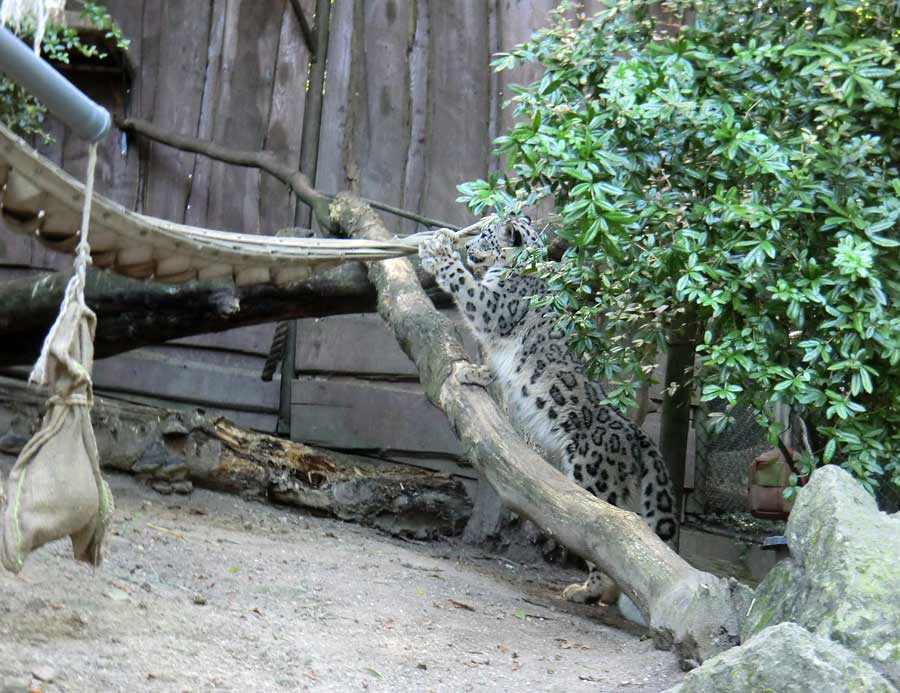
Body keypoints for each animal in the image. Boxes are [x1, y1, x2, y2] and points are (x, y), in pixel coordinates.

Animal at [418, 214, 680, 604]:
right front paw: (474, 372)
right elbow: (494, 365)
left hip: (594, 476)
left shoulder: (496, 306)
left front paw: (439, 254)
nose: (469, 246)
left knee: (610, 533)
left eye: (486, 235)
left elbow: (466, 286)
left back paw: (586, 591)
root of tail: (635, 435)